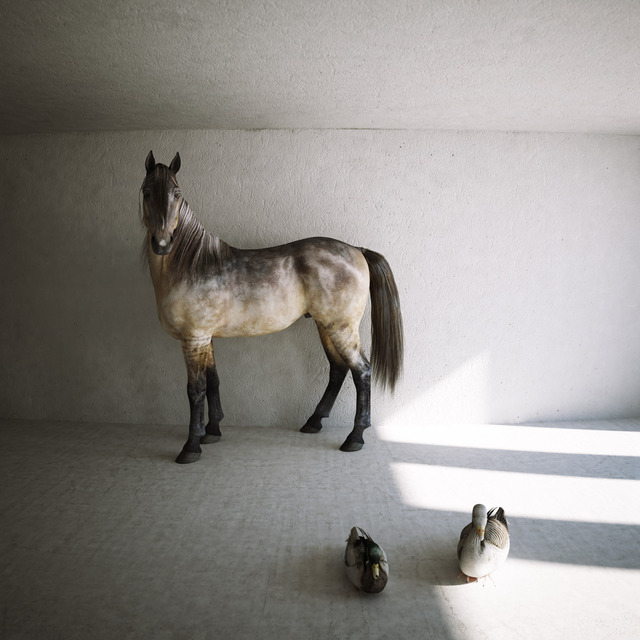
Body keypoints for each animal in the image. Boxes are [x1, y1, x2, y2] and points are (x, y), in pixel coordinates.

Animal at [141, 151, 404, 464]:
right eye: (146, 191)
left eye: (177, 193)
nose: (162, 243)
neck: (192, 265)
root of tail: (357, 250)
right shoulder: (205, 339)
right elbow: (213, 380)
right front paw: (212, 432)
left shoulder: (194, 339)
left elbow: (196, 390)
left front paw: (191, 447)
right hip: (325, 326)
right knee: (338, 369)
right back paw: (313, 422)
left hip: (341, 328)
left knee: (361, 371)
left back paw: (355, 437)